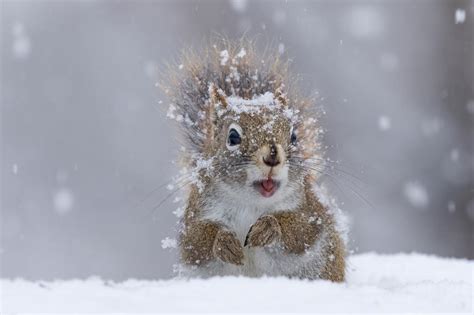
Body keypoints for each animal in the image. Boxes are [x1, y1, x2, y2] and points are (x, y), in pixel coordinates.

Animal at [161, 38, 346, 282]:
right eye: (233, 137)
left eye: (293, 136)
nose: (272, 156)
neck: (251, 203)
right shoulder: (197, 212)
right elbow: (195, 241)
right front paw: (224, 241)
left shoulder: (310, 210)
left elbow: (302, 230)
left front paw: (269, 227)